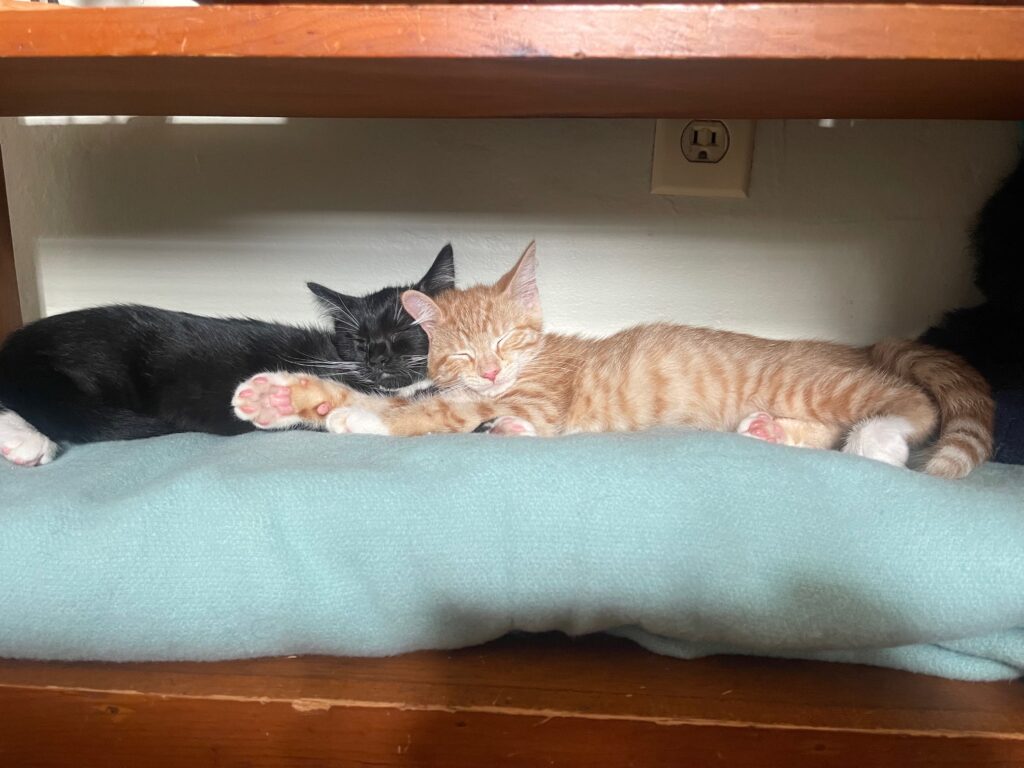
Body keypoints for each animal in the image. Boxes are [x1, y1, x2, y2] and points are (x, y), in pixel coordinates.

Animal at [233, 243, 994, 479]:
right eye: (466, 351)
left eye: (506, 342)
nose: (491, 372)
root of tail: (853, 344)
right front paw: (283, 398)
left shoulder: (533, 400)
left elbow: (437, 417)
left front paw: (362, 420)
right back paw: (771, 431)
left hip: (825, 385)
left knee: (910, 406)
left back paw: (879, 442)